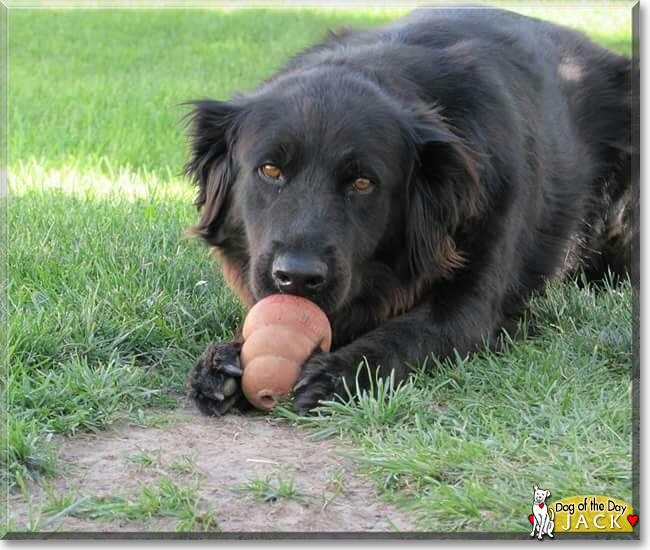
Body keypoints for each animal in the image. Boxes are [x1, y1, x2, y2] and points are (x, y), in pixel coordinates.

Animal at [182, 8, 632, 416]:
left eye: (362, 183)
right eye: (271, 170)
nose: (298, 276)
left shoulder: (470, 307)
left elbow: (404, 334)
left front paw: (339, 373)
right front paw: (227, 358)